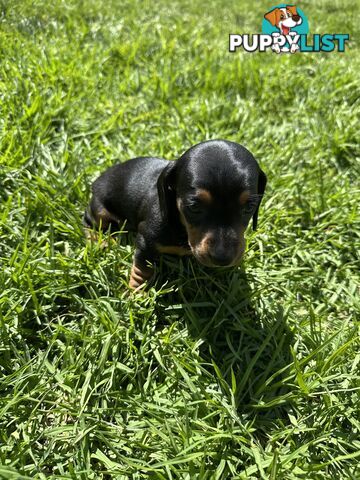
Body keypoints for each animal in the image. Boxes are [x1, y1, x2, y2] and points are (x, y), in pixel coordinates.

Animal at [83, 139, 266, 288]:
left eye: (249, 207)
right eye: (194, 206)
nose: (223, 259)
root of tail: (98, 180)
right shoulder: (146, 241)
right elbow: (142, 270)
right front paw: (136, 294)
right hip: (101, 211)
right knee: (88, 220)